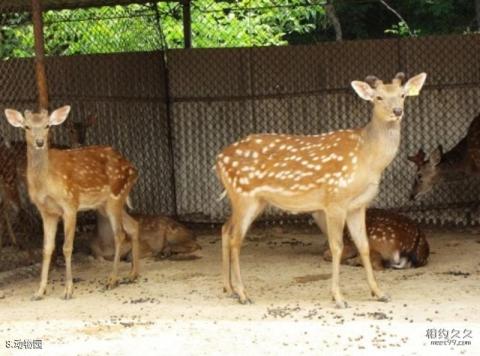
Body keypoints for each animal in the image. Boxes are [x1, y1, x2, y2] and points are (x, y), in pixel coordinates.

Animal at [4, 106, 139, 300]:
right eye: (27, 127)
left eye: (47, 126)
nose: (39, 142)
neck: (45, 183)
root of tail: (133, 168)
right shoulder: (46, 212)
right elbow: (47, 248)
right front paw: (39, 291)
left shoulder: (70, 204)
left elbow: (67, 247)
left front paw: (68, 290)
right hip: (104, 205)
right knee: (134, 226)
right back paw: (132, 274)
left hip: (116, 195)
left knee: (120, 234)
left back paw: (112, 280)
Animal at [216, 71, 426, 306]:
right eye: (378, 97)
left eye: (403, 95)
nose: (397, 111)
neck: (367, 158)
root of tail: (218, 159)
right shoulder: (335, 199)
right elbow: (336, 247)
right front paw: (338, 297)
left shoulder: (358, 205)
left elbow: (363, 245)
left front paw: (379, 293)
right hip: (244, 196)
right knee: (236, 239)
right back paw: (243, 294)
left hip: (250, 200)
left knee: (226, 229)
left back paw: (229, 289)